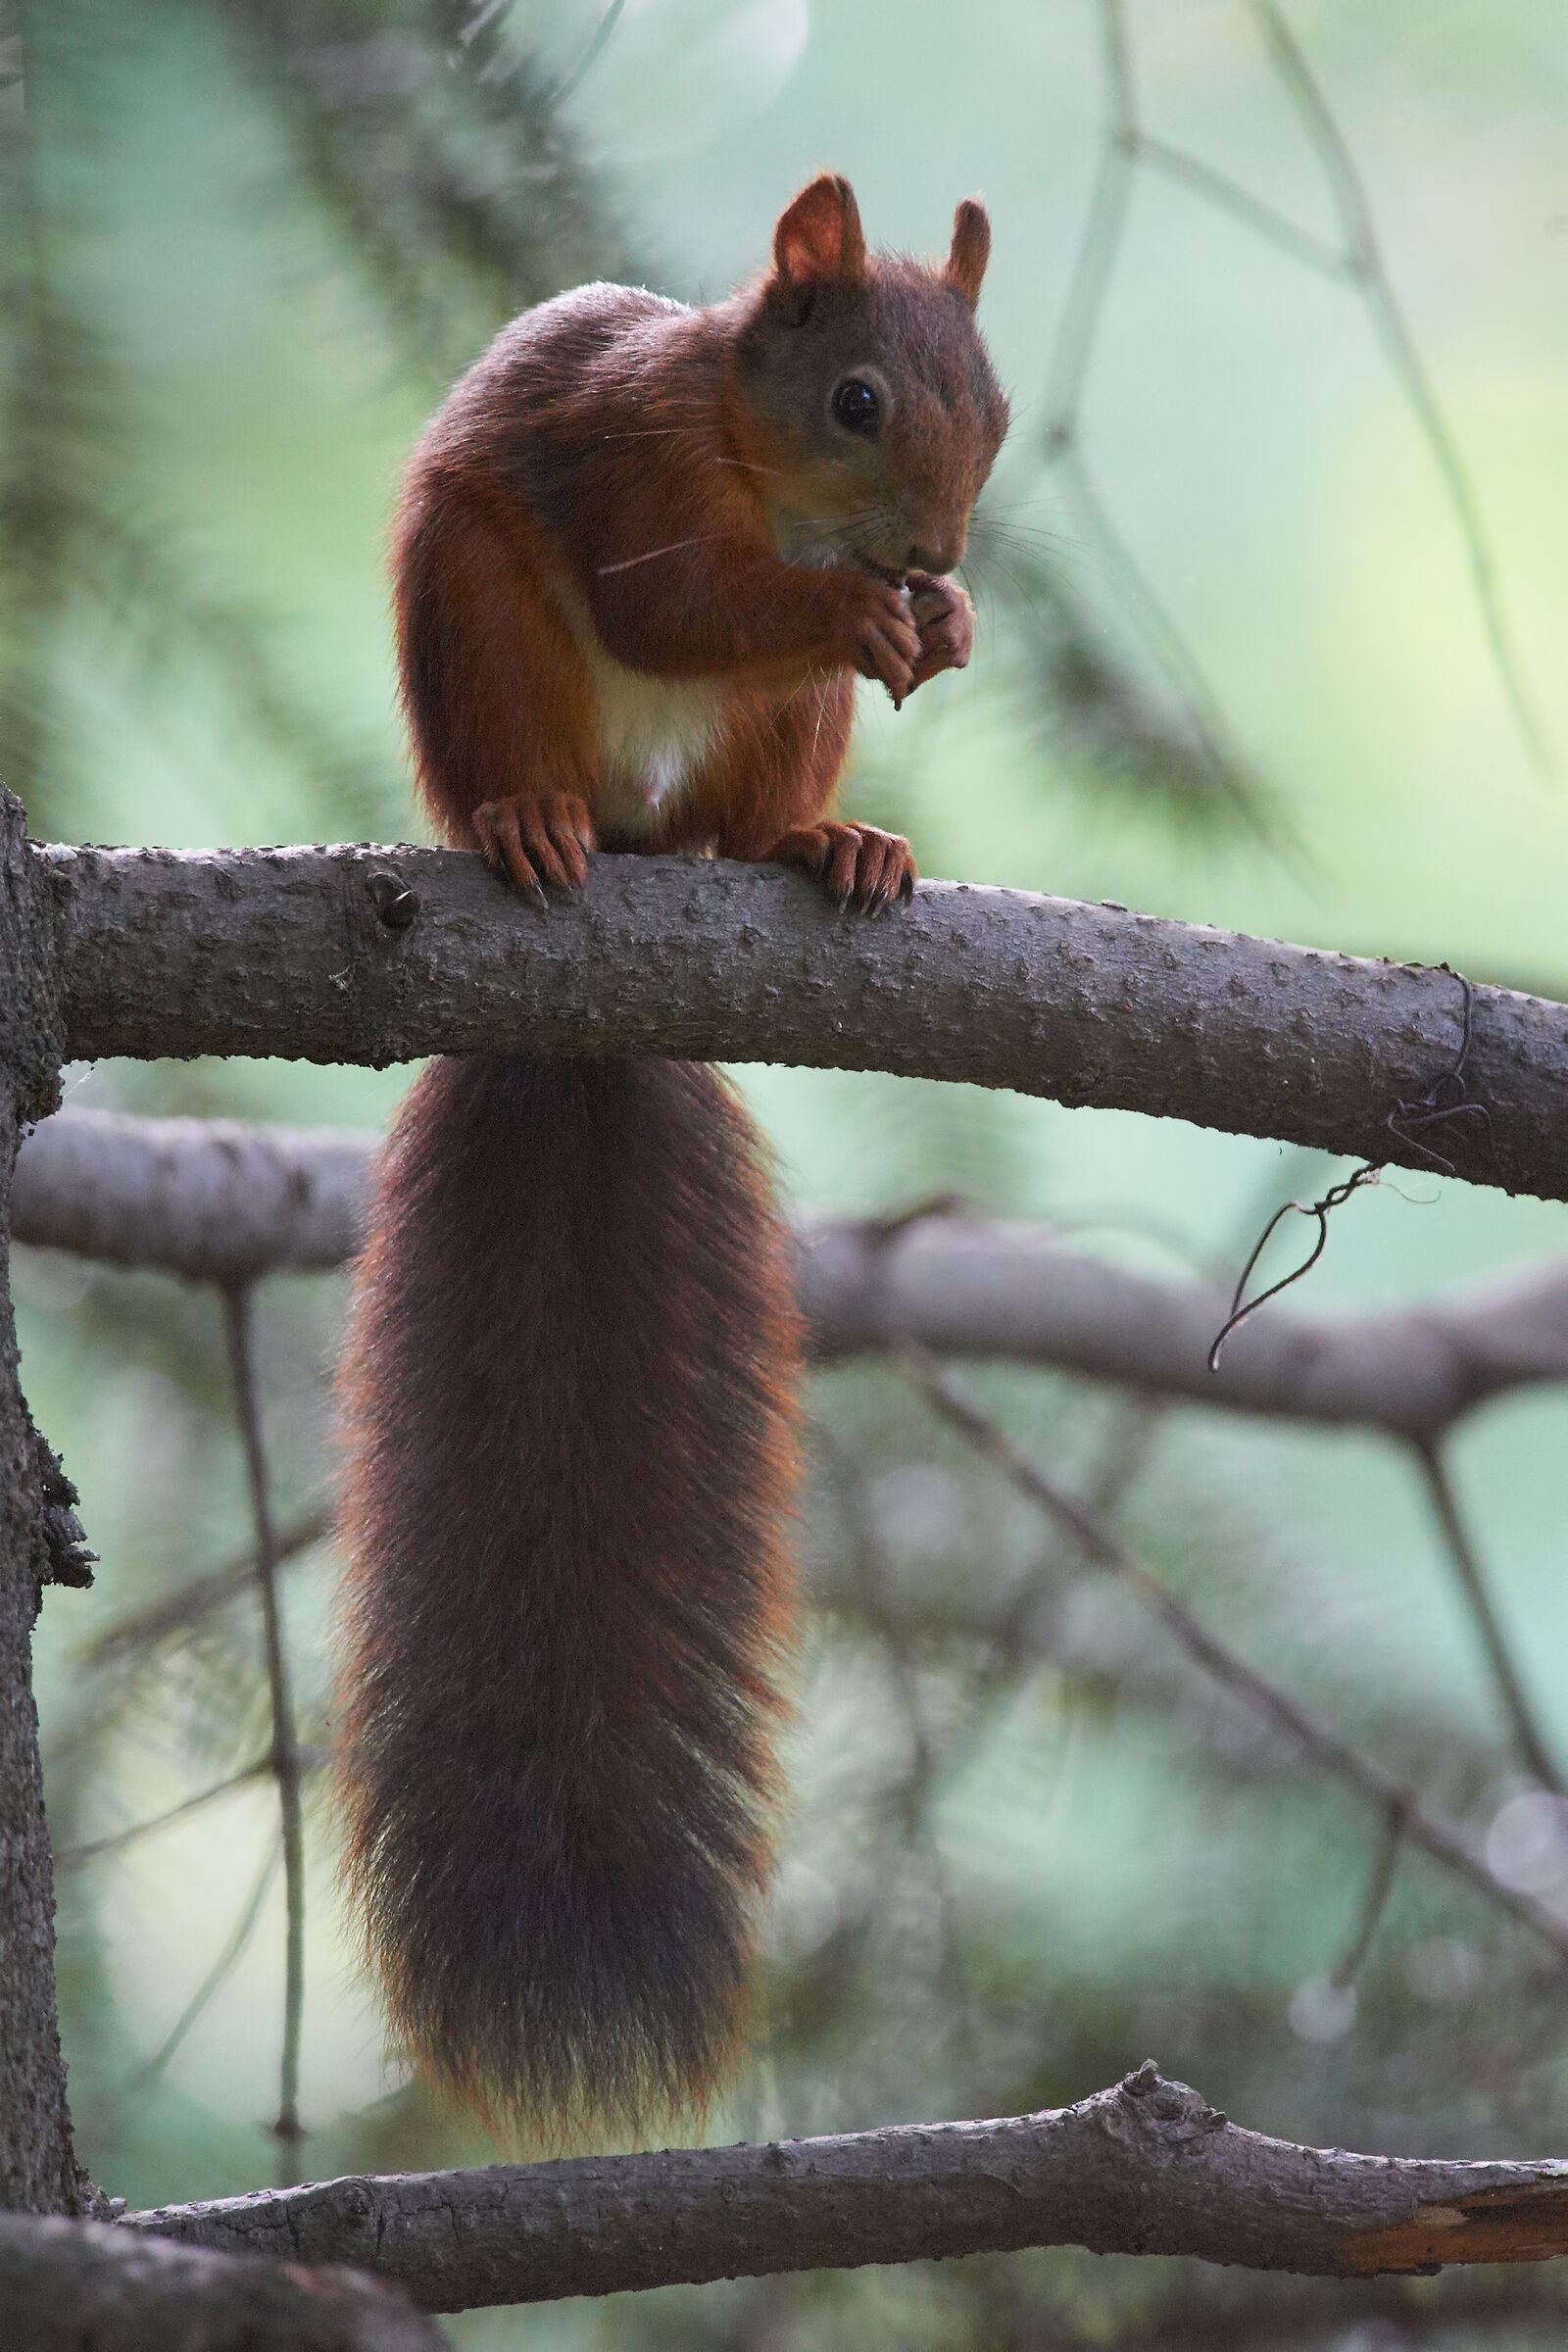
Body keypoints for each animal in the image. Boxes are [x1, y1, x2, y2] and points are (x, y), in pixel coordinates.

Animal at [335, 173, 1008, 2142]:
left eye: (995, 407)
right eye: (857, 400)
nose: (931, 546)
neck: (746, 441)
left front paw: (941, 619)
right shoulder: (628, 464)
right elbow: (685, 598)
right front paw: (866, 613)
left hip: (761, 752)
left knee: (751, 809)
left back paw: (830, 844)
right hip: (475, 611)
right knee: (552, 731)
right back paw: (529, 823)